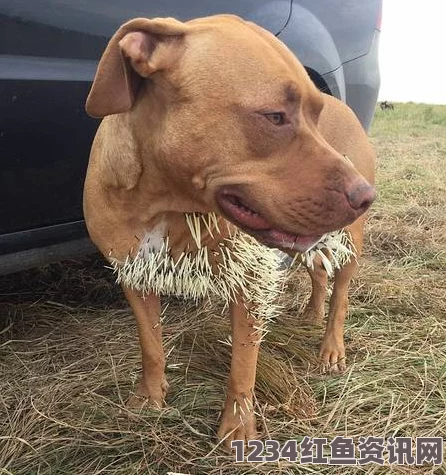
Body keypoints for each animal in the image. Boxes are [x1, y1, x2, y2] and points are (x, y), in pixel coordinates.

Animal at [83, 13, 376, 446]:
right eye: (275, 117)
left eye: (316, 115)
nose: (365, 195)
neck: (167, 199)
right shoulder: (134, 275)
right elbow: (150, 344)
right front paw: (150, 398)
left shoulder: (249, 281)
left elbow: (243, 362)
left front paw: (237, 427)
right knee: (319, 272)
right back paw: (311, 313)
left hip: (349, 242)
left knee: (340, 293)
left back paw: (331, 347)